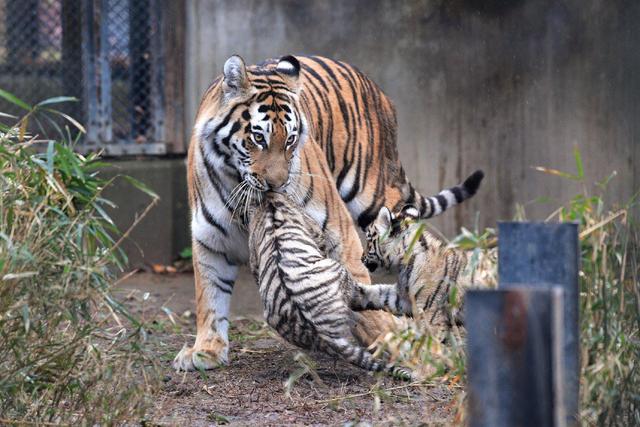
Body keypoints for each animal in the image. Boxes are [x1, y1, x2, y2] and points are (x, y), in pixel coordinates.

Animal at [174, 54, 476, 372]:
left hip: (375, 195)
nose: (277, 185)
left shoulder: (337, 231)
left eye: (291, 139)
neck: (237, 180)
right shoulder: (210, 238)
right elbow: (209, 296)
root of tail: (373, 84)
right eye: (258, 138)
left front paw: (392, 341)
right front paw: (206, 349)